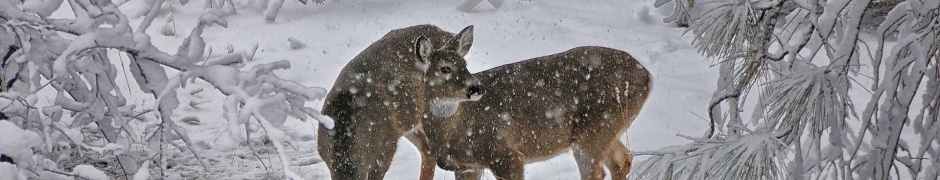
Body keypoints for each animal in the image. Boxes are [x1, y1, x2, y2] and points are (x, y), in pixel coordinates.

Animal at [320, 25, 488, 180]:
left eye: (465, 66)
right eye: (445, 69)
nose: (478, 87)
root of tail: (444, 32)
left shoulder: (386, 148)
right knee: (427, 150)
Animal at [422, 46, 648, 180]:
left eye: (465, 65)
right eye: (445, 68)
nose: (476, 88)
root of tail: (647, 76)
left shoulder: (506, 155)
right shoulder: (467, 167)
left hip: (596, 130)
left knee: (598, 172)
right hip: (606, 130)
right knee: (622, 160)